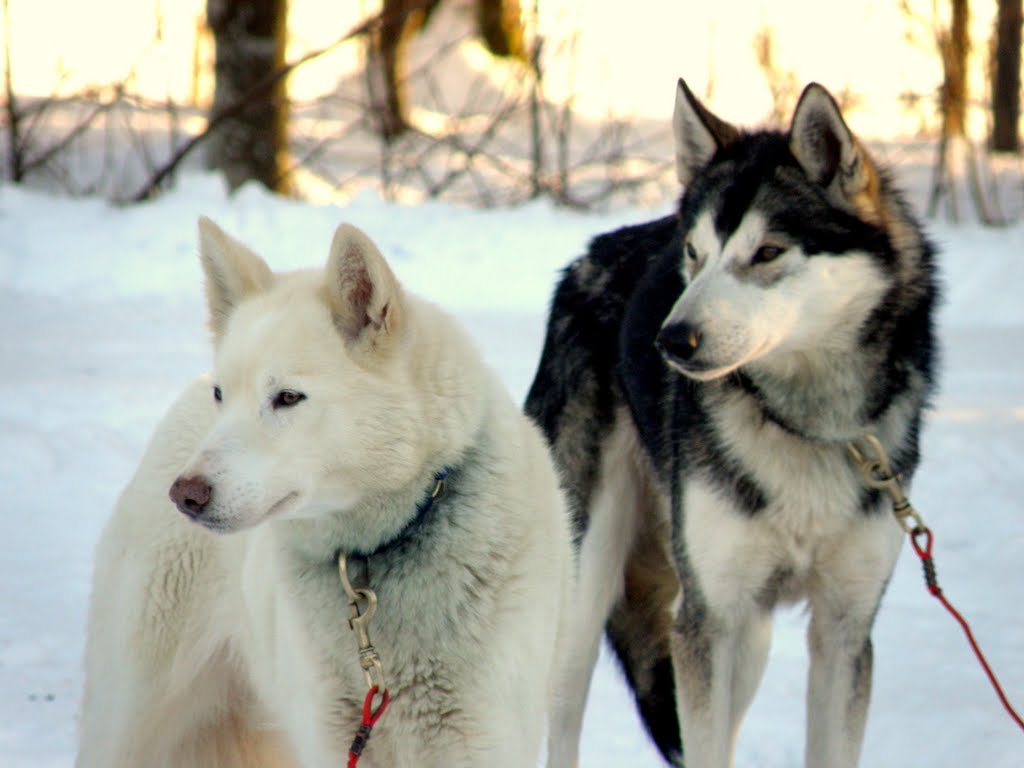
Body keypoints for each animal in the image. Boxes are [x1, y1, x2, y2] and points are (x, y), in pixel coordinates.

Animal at [77, 218, 577, 768]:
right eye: (222, 396)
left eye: (287, 397)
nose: (186, 494)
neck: (378, 550)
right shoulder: (332, 738)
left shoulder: (481, 741)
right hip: (129, 723)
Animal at [532, 79, 937, 768]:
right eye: (695, 255)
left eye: (767, 253)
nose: (670, 340)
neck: (803, 421)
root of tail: (587, 256)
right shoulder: (709, 621)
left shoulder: (844, 630)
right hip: (590, 588)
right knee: (561, 715)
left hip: (748, 640)